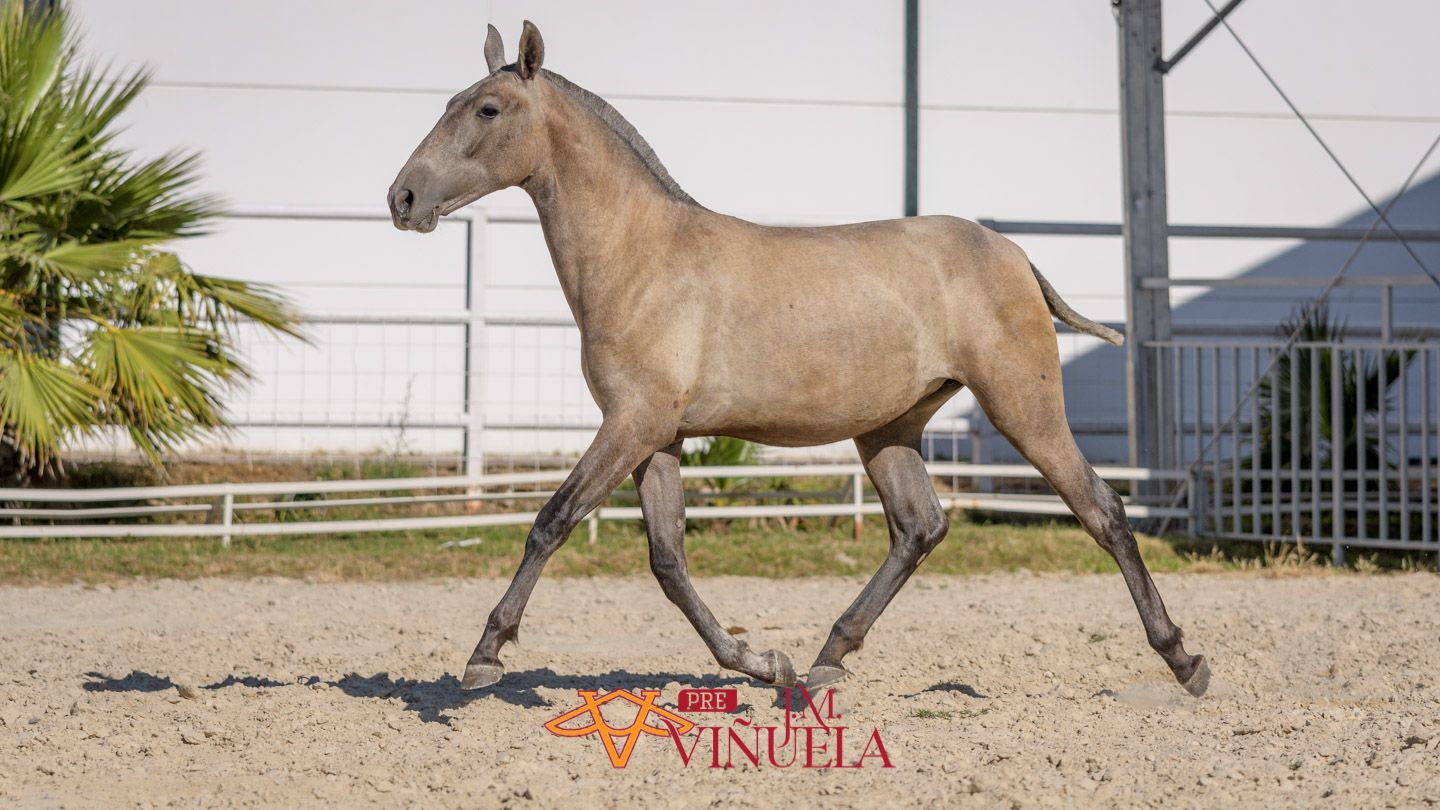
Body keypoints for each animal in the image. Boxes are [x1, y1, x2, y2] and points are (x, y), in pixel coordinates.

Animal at [387, 21, 1209, 698]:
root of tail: (1012, 253)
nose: (402, 197)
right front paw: (761, 663)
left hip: (1022, 407)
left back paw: (1184, 661)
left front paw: (484, 656)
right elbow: (668, 561)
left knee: (1102, 511)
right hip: (889, 429)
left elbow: (551, 522)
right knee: (919, 527)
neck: (641, 256)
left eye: (487, 111)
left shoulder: (630, 425)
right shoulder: (656, 437)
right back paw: (824, 661)